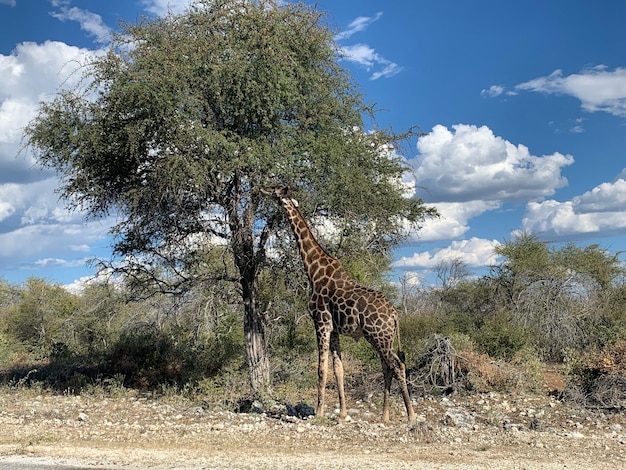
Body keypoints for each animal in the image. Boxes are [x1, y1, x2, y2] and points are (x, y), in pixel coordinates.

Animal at [260, 185, 416, 424]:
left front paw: (319, 412)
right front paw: (342, 413)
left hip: (378, 336)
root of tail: (395, 315)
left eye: (275, 190)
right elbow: (338, 368)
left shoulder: (321, 323)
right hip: (383, 337)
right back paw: (385, 415)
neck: (313, 271)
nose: (261, 188)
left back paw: (411, 415)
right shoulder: (334, 329)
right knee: (387, 367)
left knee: (397, 365)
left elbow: (321, 368)